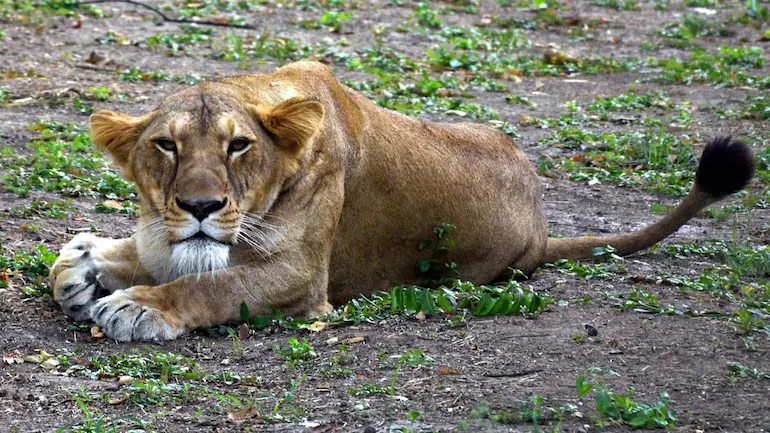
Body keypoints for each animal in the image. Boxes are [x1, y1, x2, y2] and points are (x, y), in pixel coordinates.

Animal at [49, 60, 755, 341]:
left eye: (239, 145)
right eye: (166, 145)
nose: (199, 206)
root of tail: (540, 227)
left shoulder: (302, 280)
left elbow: (210, 285)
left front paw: (139, 306)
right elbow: (127, 255)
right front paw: (85, 266)